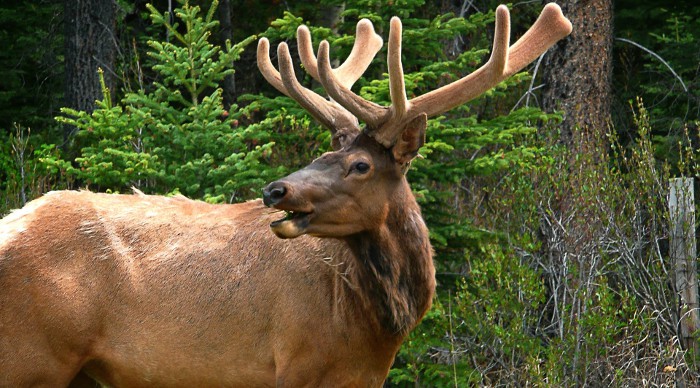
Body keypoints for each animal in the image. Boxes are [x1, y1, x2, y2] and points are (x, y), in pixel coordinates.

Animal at [0, 4, 568, 386]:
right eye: (325, 153)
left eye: (359, 164)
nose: (276, 189)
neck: (377, 328)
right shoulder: (296, 363)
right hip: (32, 359)